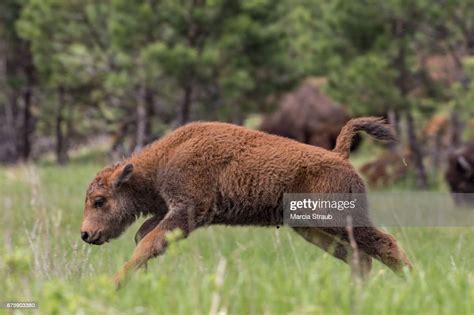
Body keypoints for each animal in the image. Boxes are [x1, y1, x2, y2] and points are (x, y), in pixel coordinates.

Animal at [82, 117, 414, 288]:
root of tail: (338, 155)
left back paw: (411, 280)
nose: (86, 234)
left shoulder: (187, 212)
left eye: (99, 200)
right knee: (359, 257)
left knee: (384, 243)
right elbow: (144, 237)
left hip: (338, 220)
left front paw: (115, 283)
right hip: (310, 227)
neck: (164, 159)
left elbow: (148, 242)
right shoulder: (171, 212)